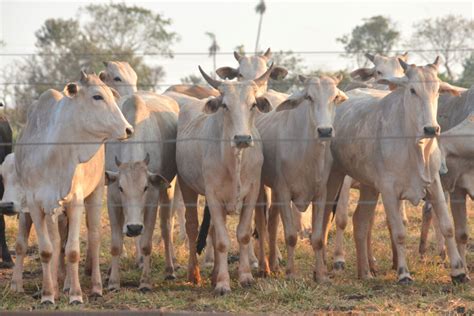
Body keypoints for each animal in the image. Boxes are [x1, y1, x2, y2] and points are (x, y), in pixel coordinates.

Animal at [15, 71, 133, 304]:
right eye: (97, 96)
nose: (128, 129)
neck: (54, 152)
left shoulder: (76, 201)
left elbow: (72, 251)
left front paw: (76, 295)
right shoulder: (36, 203)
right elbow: (47, 250)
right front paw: (48, 294)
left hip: (95, 193)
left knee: (94, 238)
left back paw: (94, 287)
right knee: (56, 241)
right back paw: (59, 285)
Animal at [104, 91, 179, 292]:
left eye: (145, 187)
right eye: (121, 187)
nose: (134, 228)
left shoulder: (152, 199)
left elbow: (146, 244)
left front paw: (145, 282)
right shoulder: (112, 198)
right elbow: (116, 244)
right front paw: (113, 281)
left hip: (168, 189)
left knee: (166, 227)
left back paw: (170, 269)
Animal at [175, 64, 272, 294]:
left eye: (253, 105)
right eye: (225, 106)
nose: (242, 138)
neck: (234, 161)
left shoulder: (251, 193)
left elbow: (243, 234)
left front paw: (245, 277)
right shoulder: (213, 196)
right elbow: (221, 241)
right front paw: (222, 284)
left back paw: (213, 274)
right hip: (186, 186)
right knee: (192, 226)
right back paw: (195, 274)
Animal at [252, 75, 348, 278]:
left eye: (335, 97)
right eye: (309, 97)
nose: (325, 131)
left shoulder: (320, 193)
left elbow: (318, 237)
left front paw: (321, 274)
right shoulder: (284, 191)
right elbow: (290, 236)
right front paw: (290, 273)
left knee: (272, 222)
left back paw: (274, 264)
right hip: (260, 187)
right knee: (261, 224)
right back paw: (264, 266)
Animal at [312, 58, 468, 284]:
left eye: (438, 90)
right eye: (412, 90)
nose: (431, 129)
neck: (414, 145)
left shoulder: (434, 185)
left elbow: (447, 226)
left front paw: (459, 271)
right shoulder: (388, 190)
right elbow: (399, 232)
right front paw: (403, 272)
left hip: (368, 186)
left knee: (360, 221)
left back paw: (365, 272)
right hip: (334, 180)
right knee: (325, 219)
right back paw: (322, 270)